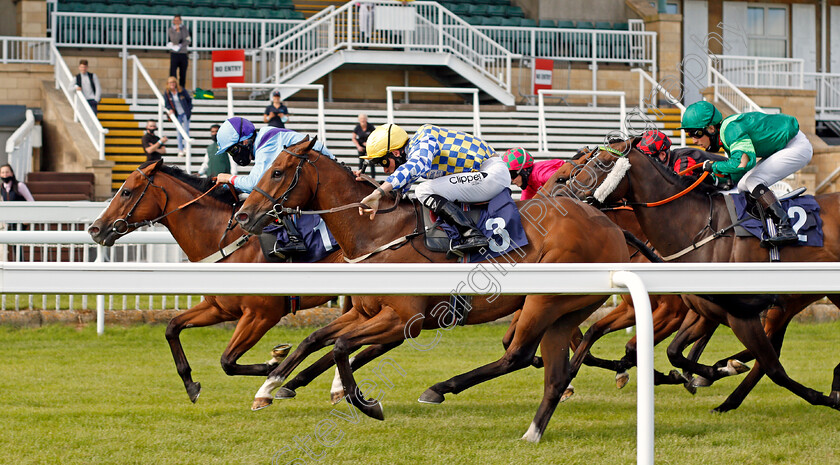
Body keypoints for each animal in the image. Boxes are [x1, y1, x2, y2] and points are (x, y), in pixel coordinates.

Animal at [233, 136, 640, 440]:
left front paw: (367, 404)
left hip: (544, 301)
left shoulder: (404, 319)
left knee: (519, 355)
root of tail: (610, 226)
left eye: (277, 172)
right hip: (565, 310)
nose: (242, 216)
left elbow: (340, 347)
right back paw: (532, 432)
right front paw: (270, 386)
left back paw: (440, 389)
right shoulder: (363, 311)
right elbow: (315, 339)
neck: (379, 233)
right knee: (551, 373)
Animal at [564, 140, 840, 412]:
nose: (568, 195)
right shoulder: (699, 310)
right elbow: (666, 350)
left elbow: (775, 370)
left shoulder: (715, 314)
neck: (696, 228)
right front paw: (707, 372)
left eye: (601, 164)